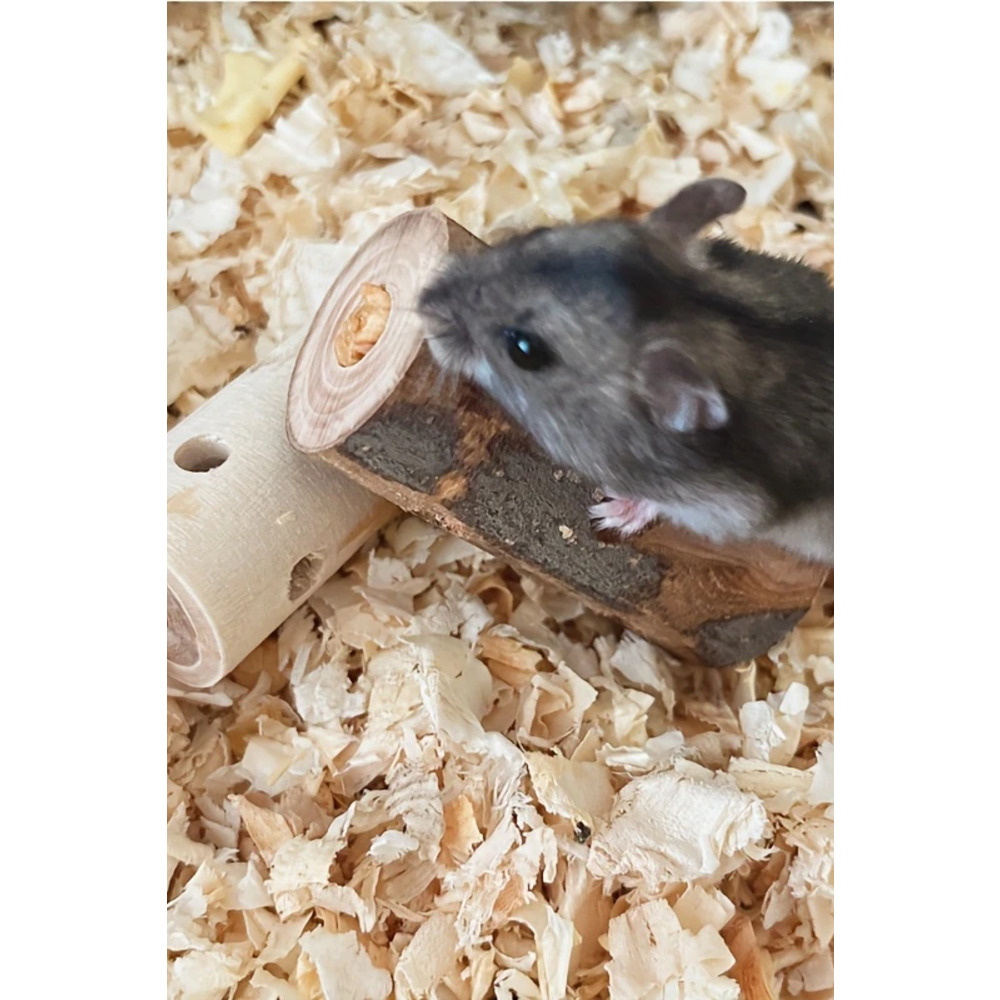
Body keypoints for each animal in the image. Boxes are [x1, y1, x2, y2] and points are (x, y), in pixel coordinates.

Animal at [418, 179, 833, 564]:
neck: (706, 317)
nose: (423, 304)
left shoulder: (726, 507)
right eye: (538, 233)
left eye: (524, 351)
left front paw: (609, 512)